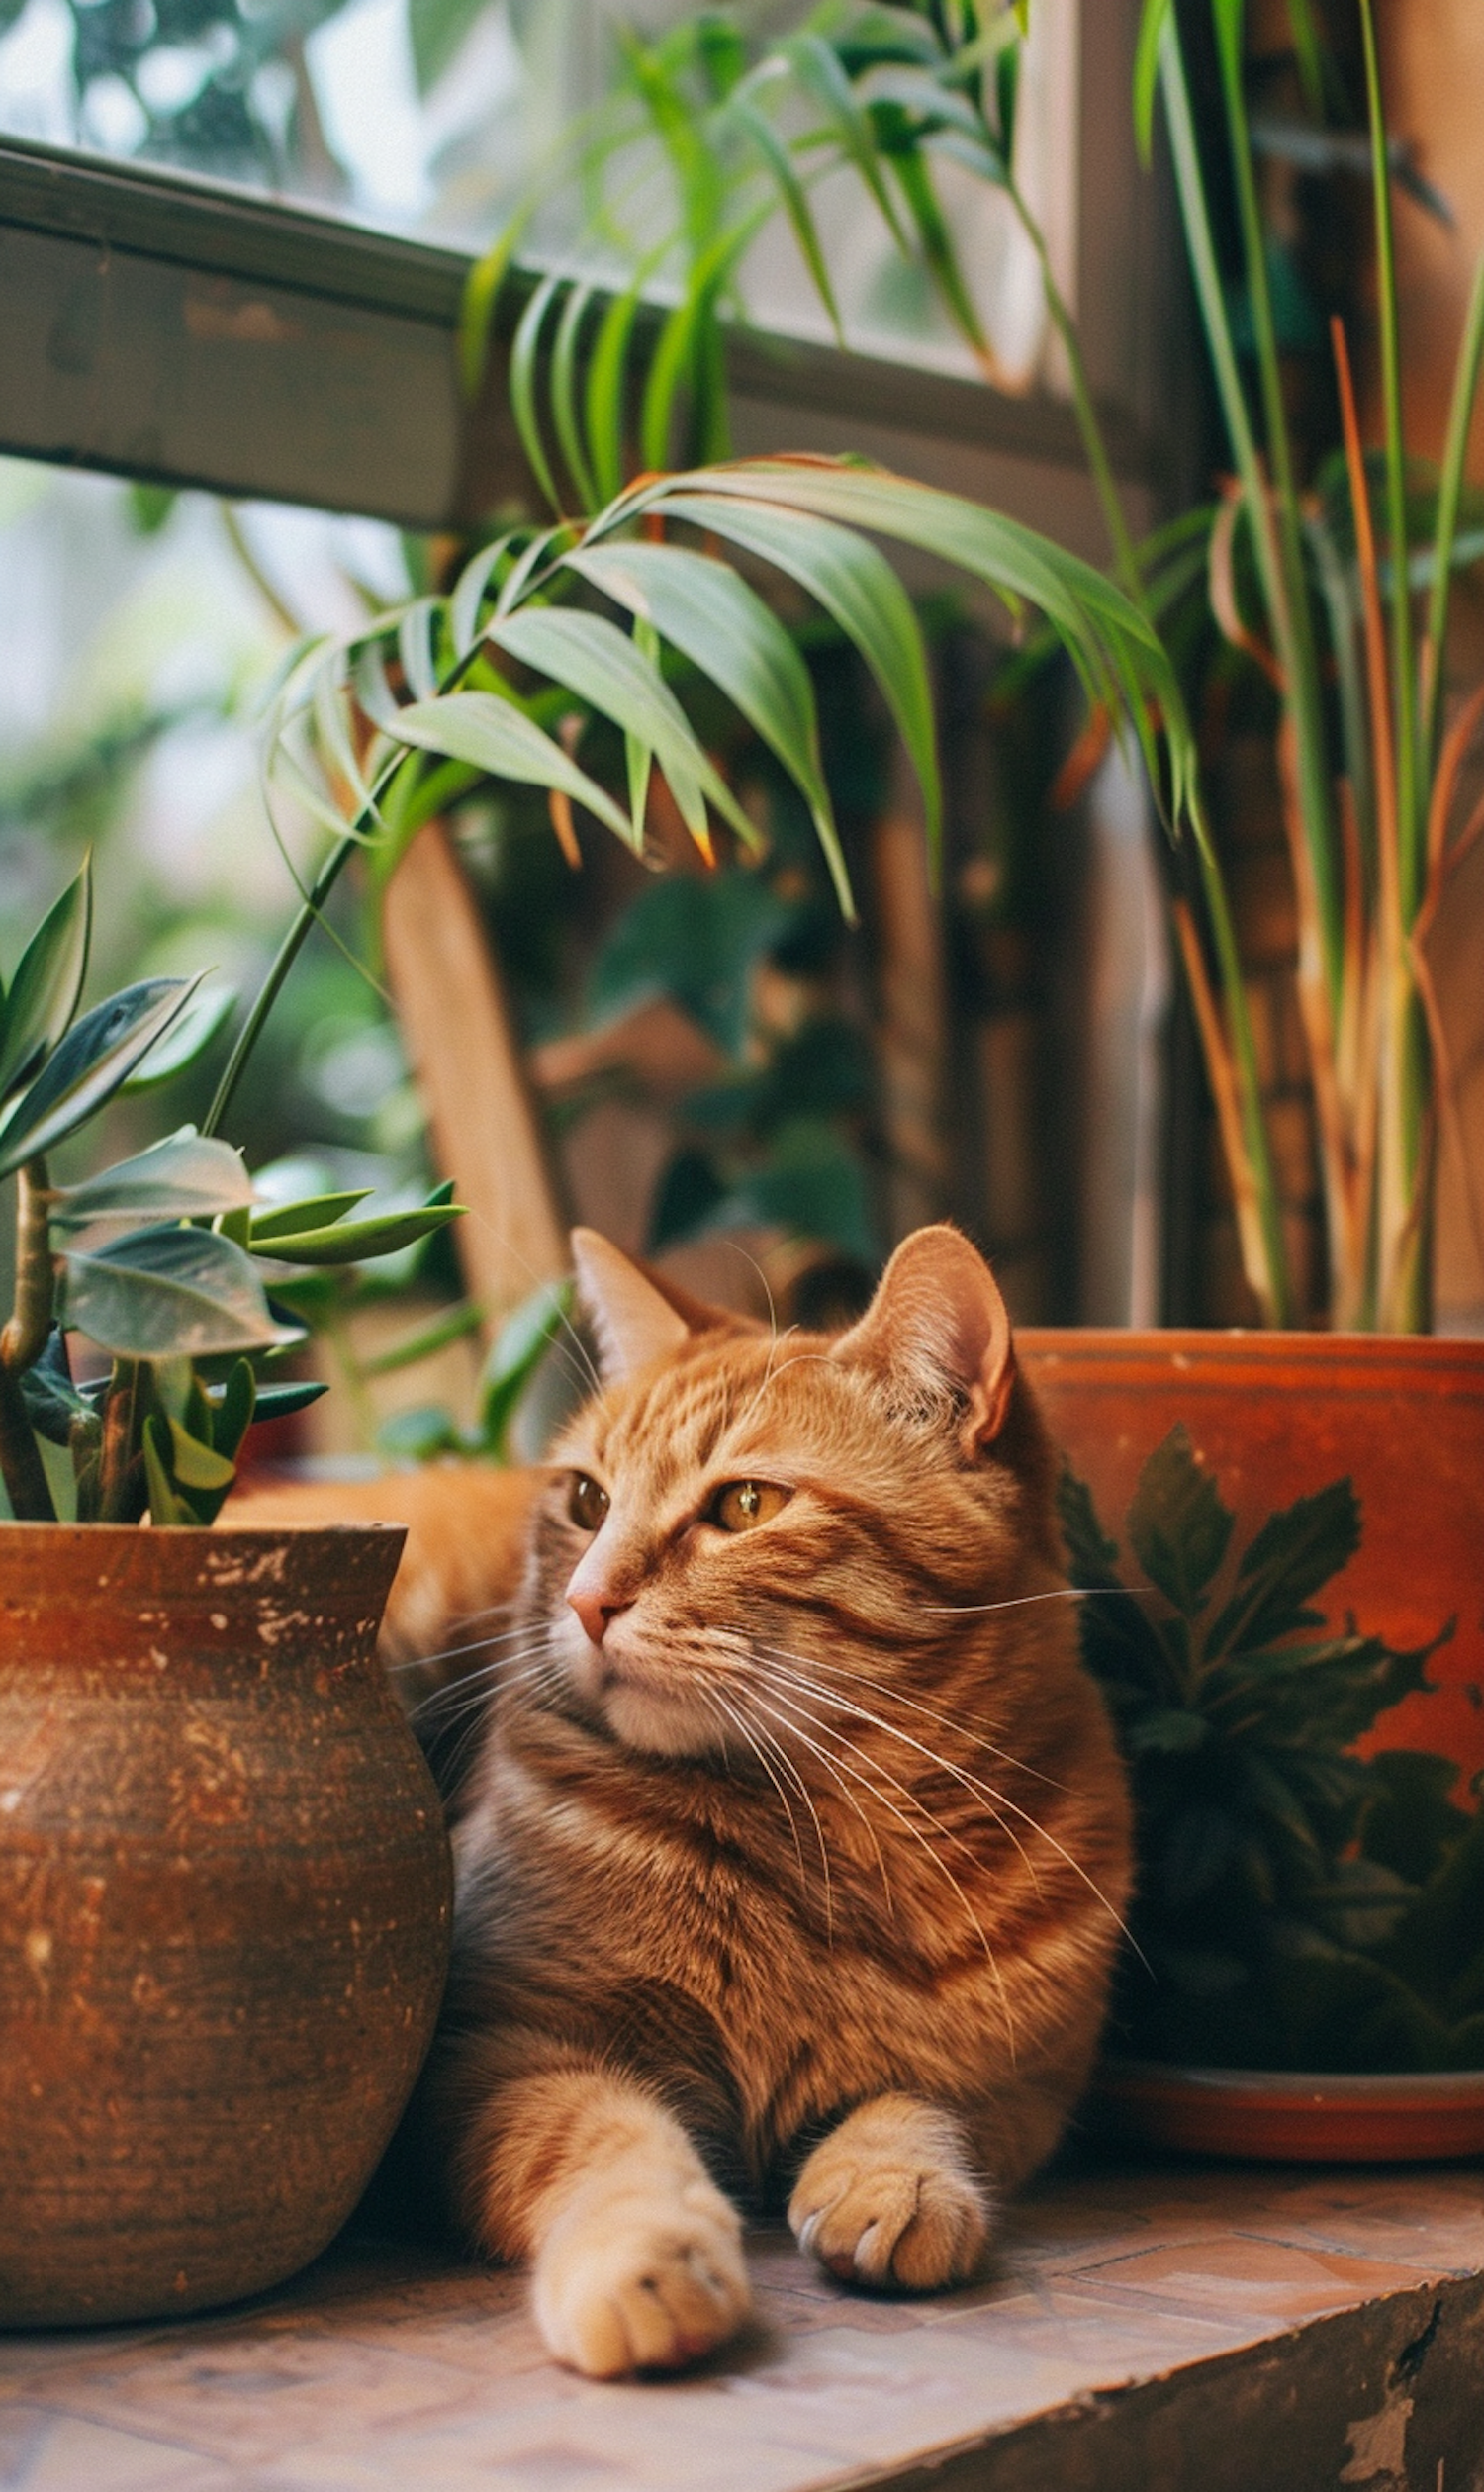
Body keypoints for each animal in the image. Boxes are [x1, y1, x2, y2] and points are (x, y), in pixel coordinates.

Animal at [237, 1226, 1132, 2372]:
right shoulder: (505, 2046)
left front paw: (894, 2178)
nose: (587, 1600)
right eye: (586, 1501)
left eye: (745, 1505)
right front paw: (648, 2258)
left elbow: (921, 2104)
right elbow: (609, 2140)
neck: (821, 1836)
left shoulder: (1021, 2087)